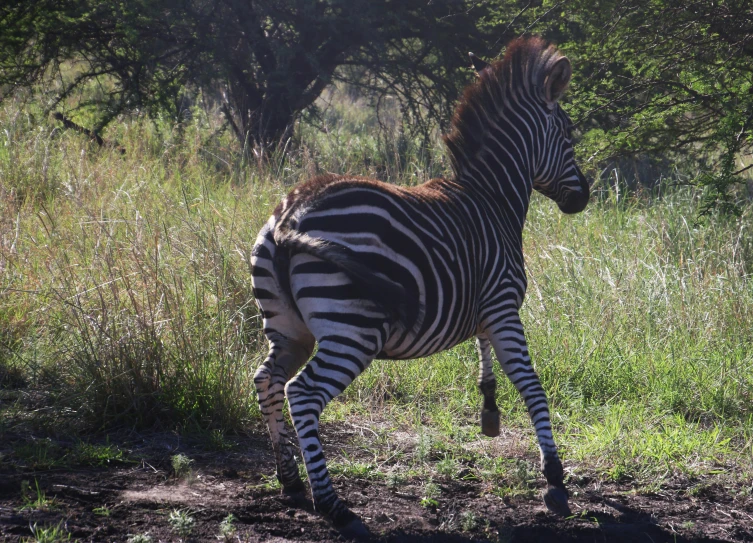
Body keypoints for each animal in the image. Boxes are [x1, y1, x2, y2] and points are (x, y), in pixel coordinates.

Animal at [250, 36, 592, 536]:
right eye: (568, 136)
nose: (582, 198)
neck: (493, 198)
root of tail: (290, 215)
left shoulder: (484, 306)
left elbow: (487, 360)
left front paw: (490, 413)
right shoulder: (504, 305)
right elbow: (531, 384)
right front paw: (554, 479)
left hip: (288, 328)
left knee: (268, 379)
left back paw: (290, 481)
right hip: (352, 329)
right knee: (303, 394)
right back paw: (334, 506)